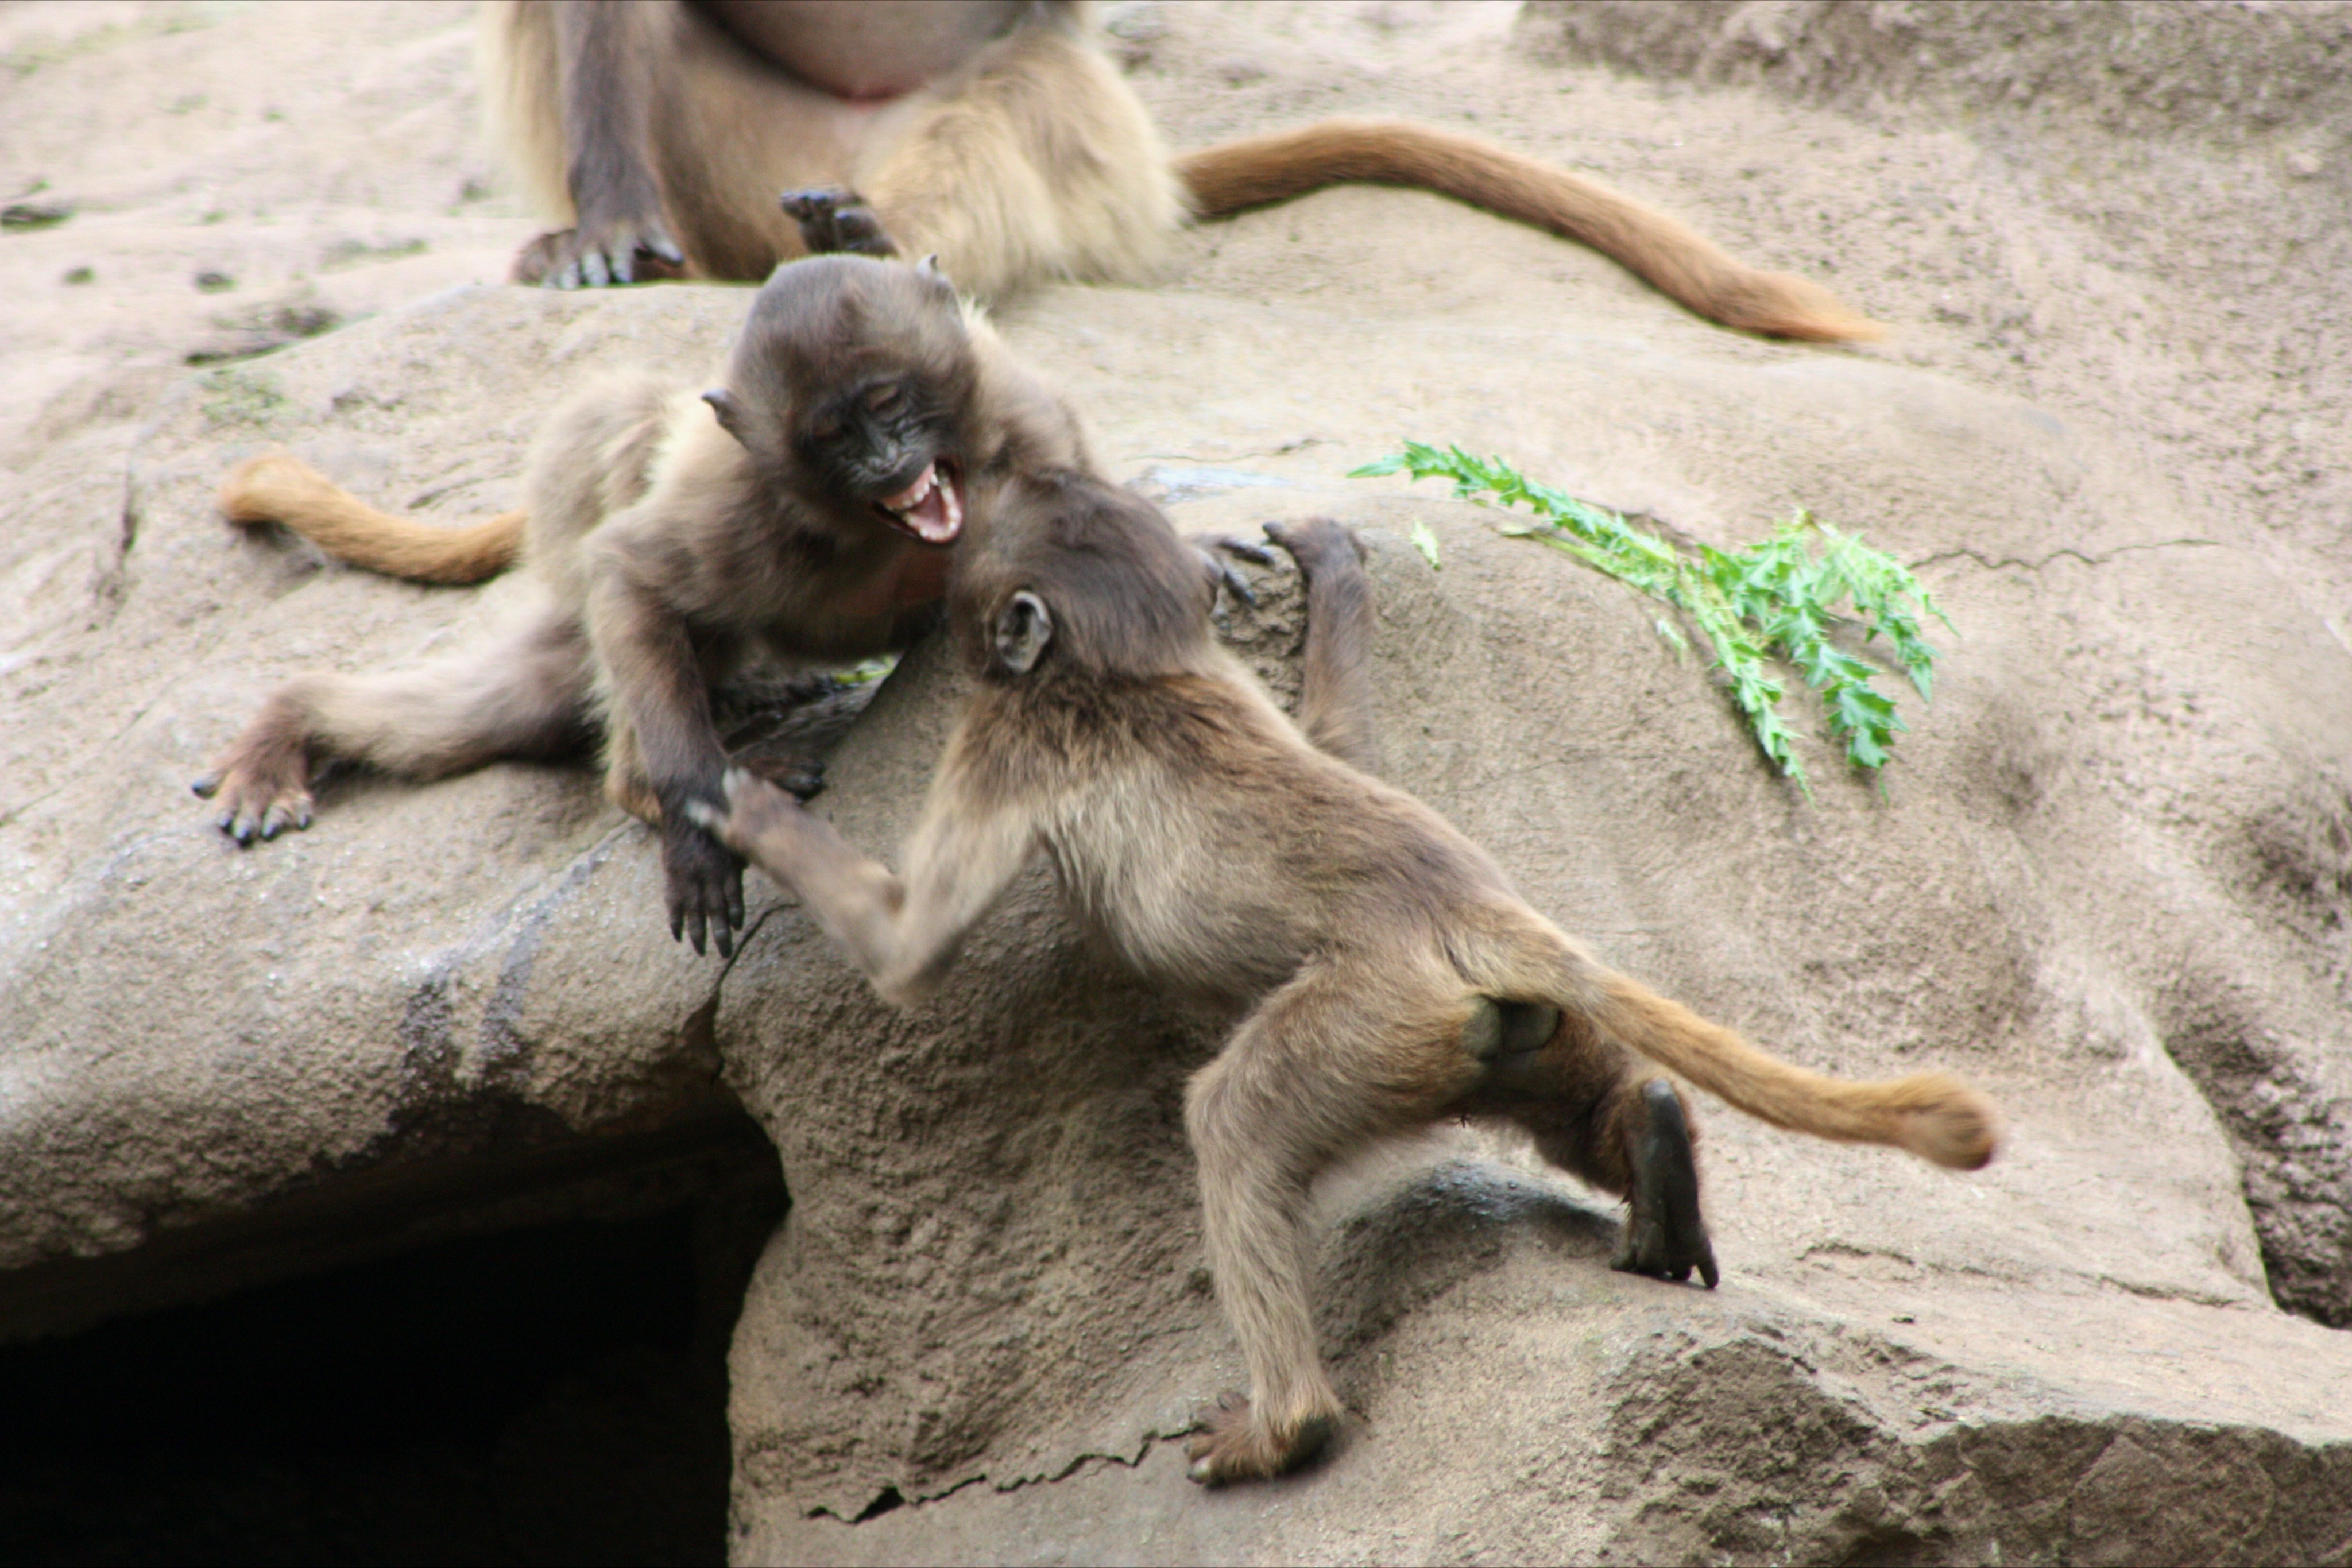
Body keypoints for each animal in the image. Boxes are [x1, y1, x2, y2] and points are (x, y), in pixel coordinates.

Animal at [198, 255, 1086, 959]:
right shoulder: (742, 504)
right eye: (834, 435)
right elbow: (628, 575)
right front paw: (696, 824)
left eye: (889, 401)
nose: (887, 460)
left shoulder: (1030, 429)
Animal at [687, 475, 1994, 1485]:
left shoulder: (1006, 738)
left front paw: (742, 806)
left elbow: (909, 952)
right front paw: (1328, 567)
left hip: (1371, 1017)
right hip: (1491, 1028)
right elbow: (1338, 748)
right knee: (1577, 1091)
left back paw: (1287, 1429)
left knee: (1229, 1120)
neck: (1133, 669)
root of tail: (1458, 905)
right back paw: (1656, 1152)